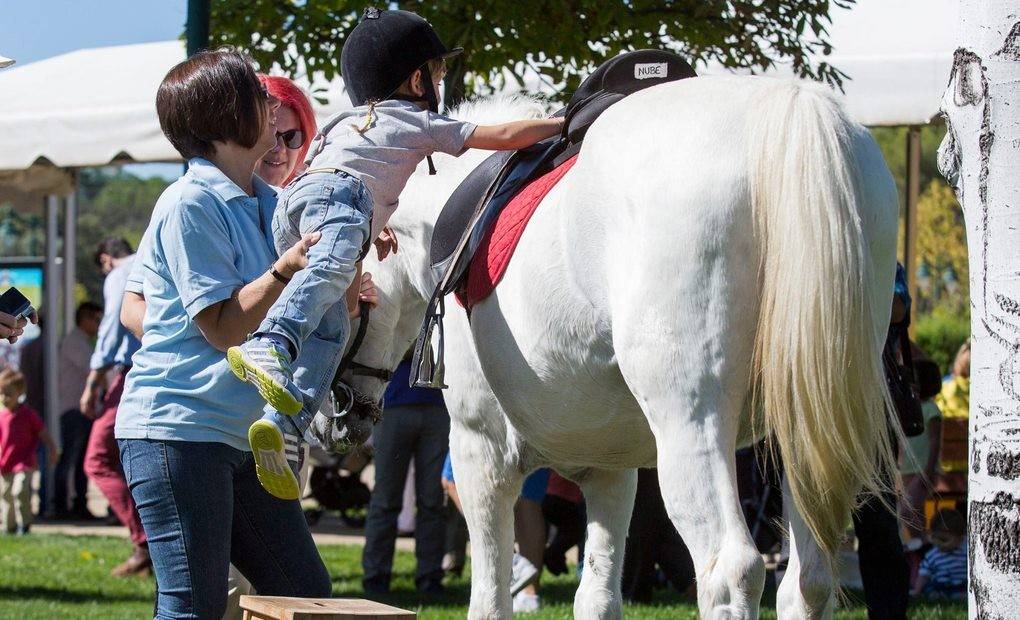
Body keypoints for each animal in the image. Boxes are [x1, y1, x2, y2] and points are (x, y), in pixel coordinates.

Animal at [346, 74, 897, 615]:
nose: (342, 407)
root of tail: (785, 107)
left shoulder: (479, 447)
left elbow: (490, 597)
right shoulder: (609, 466)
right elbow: (598, 596)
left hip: (691, 425)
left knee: (731, 570)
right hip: (807, 435)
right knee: (810, 580)